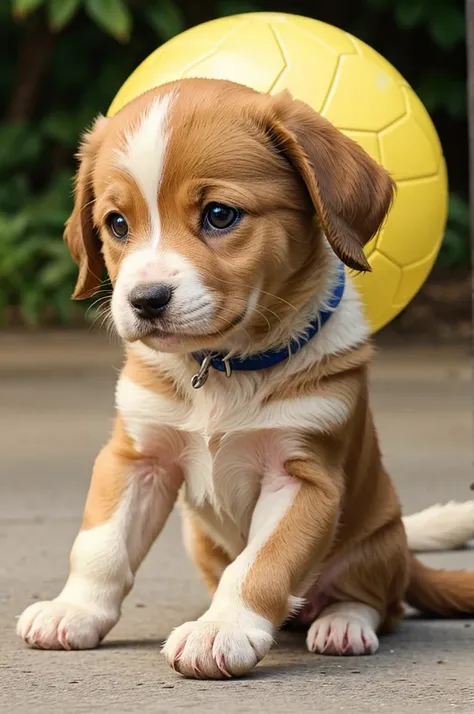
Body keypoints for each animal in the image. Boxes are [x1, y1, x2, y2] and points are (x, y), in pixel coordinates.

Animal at [16, 80, 474, 676]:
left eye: (219, 214)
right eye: (117, 224)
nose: (145, 300)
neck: (223, 368)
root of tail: (402, 544)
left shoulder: (303, 477)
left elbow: (261, 565)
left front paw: (221, 629)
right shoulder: (137, 458)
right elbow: (101, 545)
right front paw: (74, 610)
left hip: (374, 543)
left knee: (378, 602)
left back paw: (342, 625)